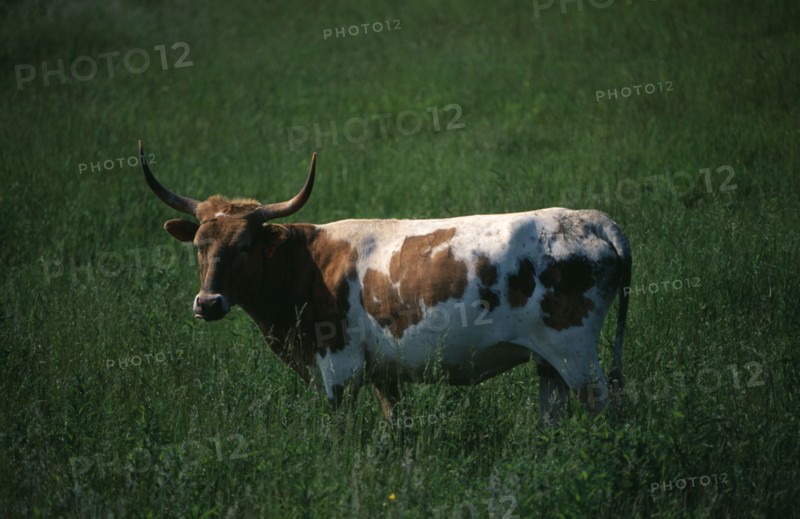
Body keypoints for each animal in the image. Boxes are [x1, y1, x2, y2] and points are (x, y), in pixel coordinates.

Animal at [138, 141, 631, 424]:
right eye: (198, 244)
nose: (208, 302)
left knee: (607, 408)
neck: (308, 263)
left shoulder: (338, 371)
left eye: (244, 246)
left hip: (575, 354)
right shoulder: (383, 376)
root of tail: (595, 220)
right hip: (549, 365)